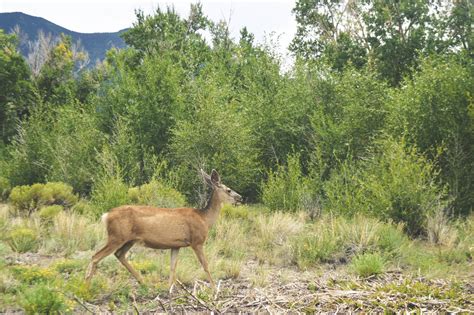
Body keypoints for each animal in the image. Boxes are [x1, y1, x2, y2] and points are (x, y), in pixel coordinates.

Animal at [84, 169, 241, 290]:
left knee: (119, 254)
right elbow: (206, 265)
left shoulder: (176, 245)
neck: (204, 219)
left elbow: (172, 266)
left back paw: (143, 282)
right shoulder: (197, 241)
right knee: (96, 256)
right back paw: (86, 286)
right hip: (116, 236)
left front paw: (169, 288)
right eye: (228, 190)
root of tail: (106, 215)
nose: (240, 197)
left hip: (129, 239)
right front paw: (215, 288)